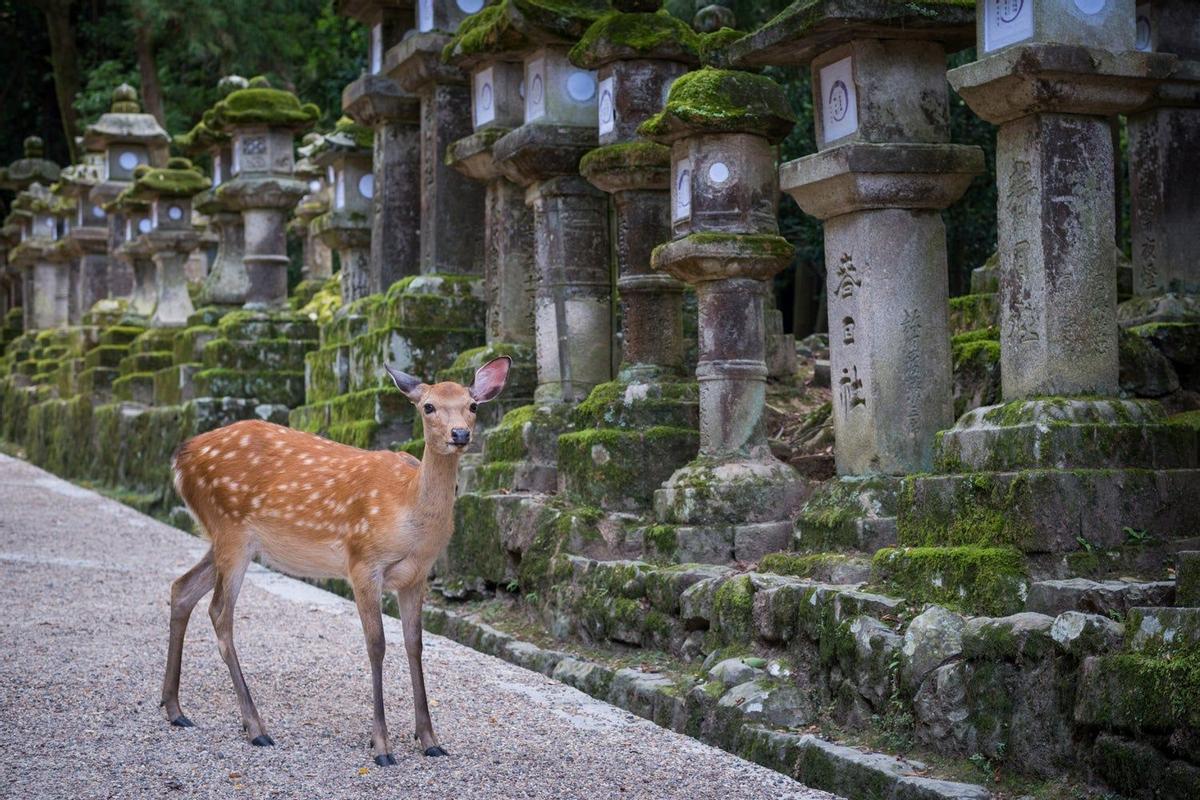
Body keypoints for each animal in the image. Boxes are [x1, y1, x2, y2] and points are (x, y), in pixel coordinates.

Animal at [160, 355, 511, 762]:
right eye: (428, 406)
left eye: (472, 406)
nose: (459, 434)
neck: (409, 512)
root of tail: (180, 458)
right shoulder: (362, 562)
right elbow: (376, 645)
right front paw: (381, 746)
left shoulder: (416, 576)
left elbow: (415, 644)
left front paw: (430, 740)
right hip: (231, 531)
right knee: (219, 612)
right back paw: (256, 728)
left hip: (224, 537)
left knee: (182, 587)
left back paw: (174, 708)